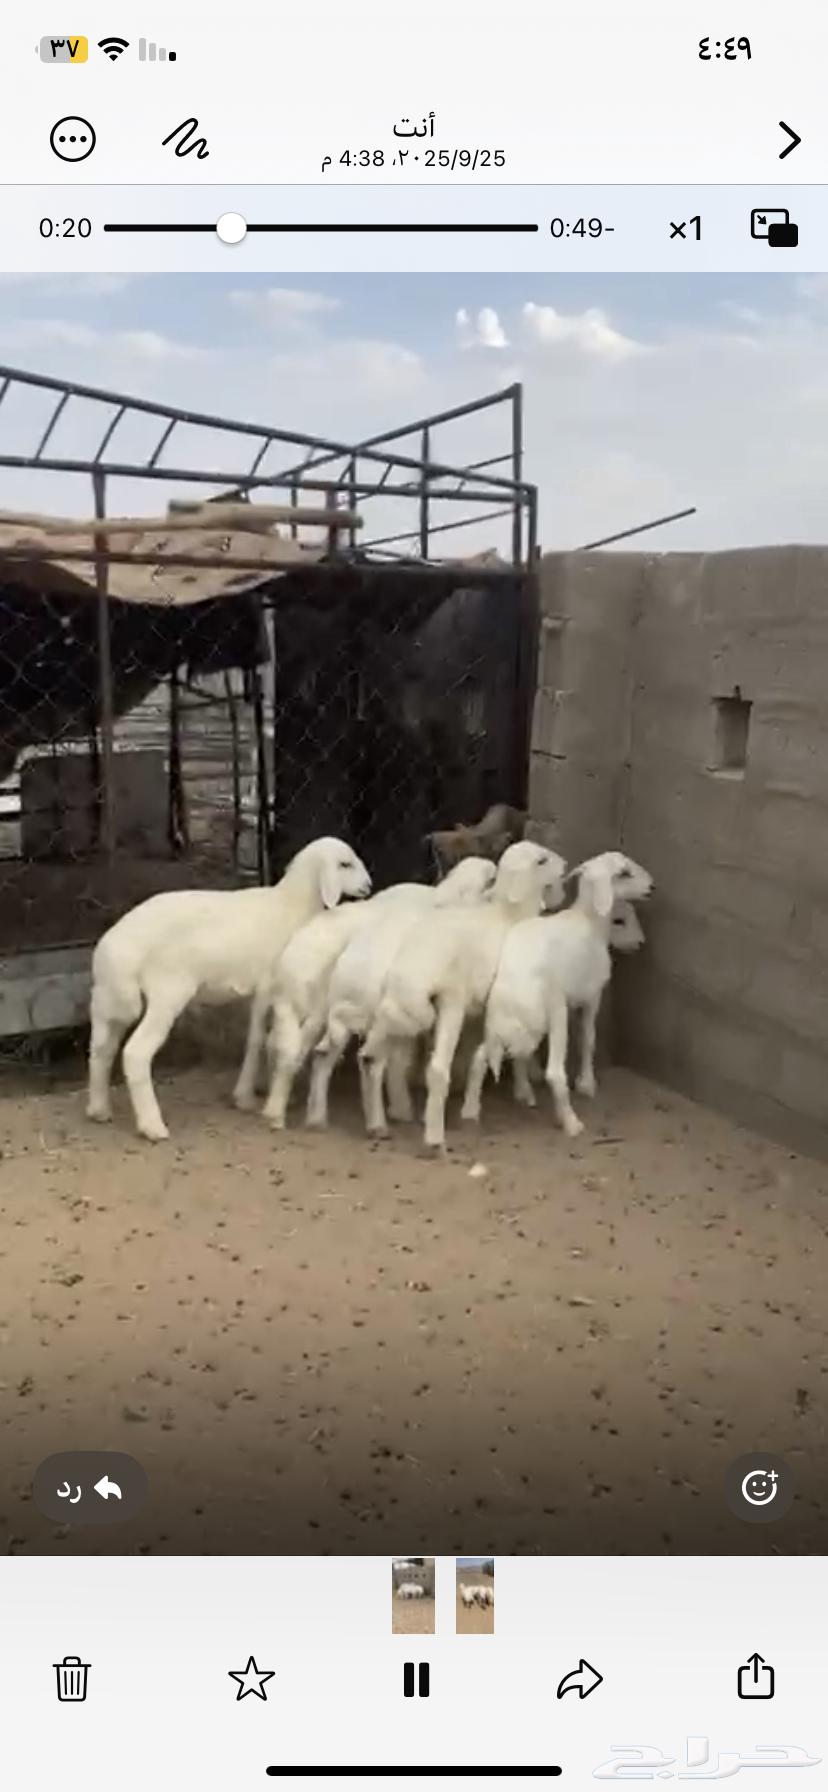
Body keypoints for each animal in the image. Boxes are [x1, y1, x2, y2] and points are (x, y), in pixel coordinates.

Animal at [86, 836, 371, 1142]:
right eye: (345, 864)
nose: (368, 886)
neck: (290, 905)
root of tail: (115, 947)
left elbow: (257, 1037)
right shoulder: (269, 984)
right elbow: (258, 1038)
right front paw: (249, 1095)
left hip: (108, 999)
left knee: (101, 1050)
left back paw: (98, 1109)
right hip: (167, 992)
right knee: (136, 1052)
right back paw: (153, 1126)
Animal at [359, 840, 567, 1150]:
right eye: (541, 860)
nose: (565, 864)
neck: (508, 914)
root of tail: (413, 971)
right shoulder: (497, 1004)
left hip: (395, 1008)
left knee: (374, 1061)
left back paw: (378, 1122)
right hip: (449, 1003)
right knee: (435, 1069)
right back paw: (434, 1137)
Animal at [460, 852, 652, 1137]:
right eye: (624, 873)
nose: (652, 887)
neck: (590, 922)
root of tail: (513, 997)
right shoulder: (591, 996)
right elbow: (588, 1038)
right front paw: (586, 1083)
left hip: (502, 1025)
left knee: (480, 1057)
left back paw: (472, 1110)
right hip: (553, 1014)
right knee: (553, 1073)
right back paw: (571, 1123)